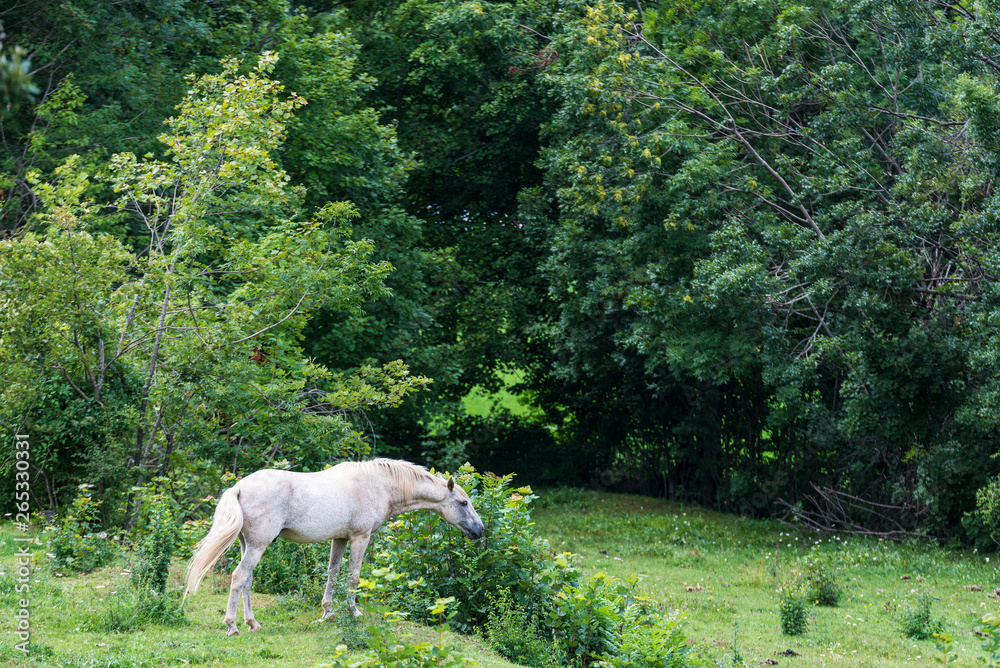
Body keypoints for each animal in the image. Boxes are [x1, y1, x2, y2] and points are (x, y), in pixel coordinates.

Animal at [183, 458, 485, 636]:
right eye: (463, 503)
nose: (479, 530)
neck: (379, 484)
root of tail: (239, 488)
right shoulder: (360, 537)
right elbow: (353, 575)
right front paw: (354, 612)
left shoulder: (339, 539)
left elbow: (333, 573)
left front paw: (327, 613)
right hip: (257, 547)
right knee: (238, 577)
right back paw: (233, 626)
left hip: (249, 546)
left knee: (247, 580)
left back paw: (253, 623)